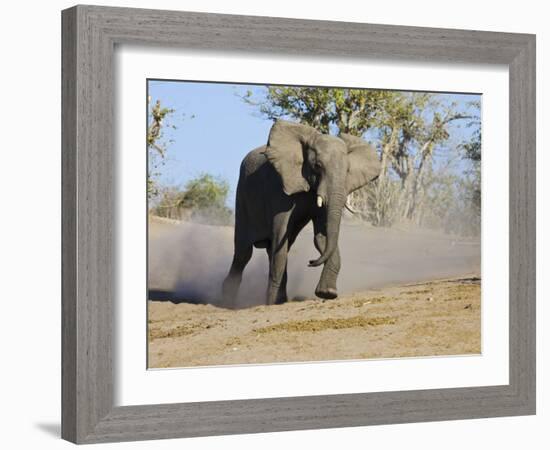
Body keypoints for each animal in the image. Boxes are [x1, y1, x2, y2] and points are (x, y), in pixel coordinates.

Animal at [222, 118, 382, 306]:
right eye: (318, 166)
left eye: (348, 170)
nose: (311, 261)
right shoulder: (280, 189)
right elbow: (280, 236)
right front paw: (270, 304)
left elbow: (322, 237)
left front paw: (327, 293)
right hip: (242, 198)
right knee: (244, 253)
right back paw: (226, 301)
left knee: (275, 248)